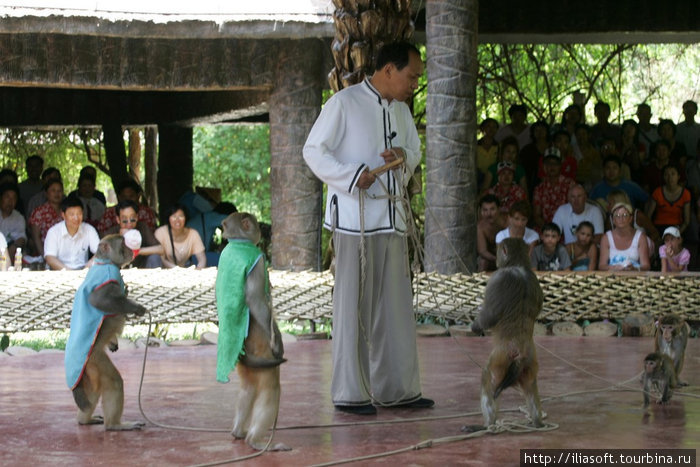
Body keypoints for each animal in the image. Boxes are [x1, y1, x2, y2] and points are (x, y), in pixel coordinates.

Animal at [65, 236, 148, 434]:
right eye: (123, 245)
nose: (131, 250)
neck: (105, 262)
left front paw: (113, 342)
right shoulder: (111, 274)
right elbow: (98, 300)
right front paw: (136, 308)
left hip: (89, 370)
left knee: (93, 391)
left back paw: (84, 420)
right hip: (94, 358)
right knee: (114, 381)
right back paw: (114, 425)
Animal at [215, 214, 288, 452]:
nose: (262, 228)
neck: (238, 242)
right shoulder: (258, 261)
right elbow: (255, 300)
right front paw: (279, 343)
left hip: (245, 360)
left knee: (248, 388)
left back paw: (238, 432)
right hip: (263, 354)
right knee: (271, 389)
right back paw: (255, 440)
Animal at [464, 239, 548, 434]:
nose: (496, 260)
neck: (518, 265)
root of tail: (521, 352)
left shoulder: (498, 277)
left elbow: (489, 317)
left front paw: (476, 326)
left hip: (502, 358)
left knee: (487, 378)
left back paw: (488, 425)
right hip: (528, 364)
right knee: (531, 387)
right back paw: (537, 421)